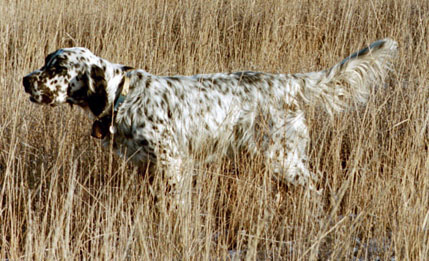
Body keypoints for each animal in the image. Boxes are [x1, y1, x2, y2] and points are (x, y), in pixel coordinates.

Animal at [23, 38, 396, 193]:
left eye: (57, 68)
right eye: (45, 61)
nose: (25, 80)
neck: (121, 97)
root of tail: (285, 81)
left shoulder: (172, 163)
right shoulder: (145, 166)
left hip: (284, 158)